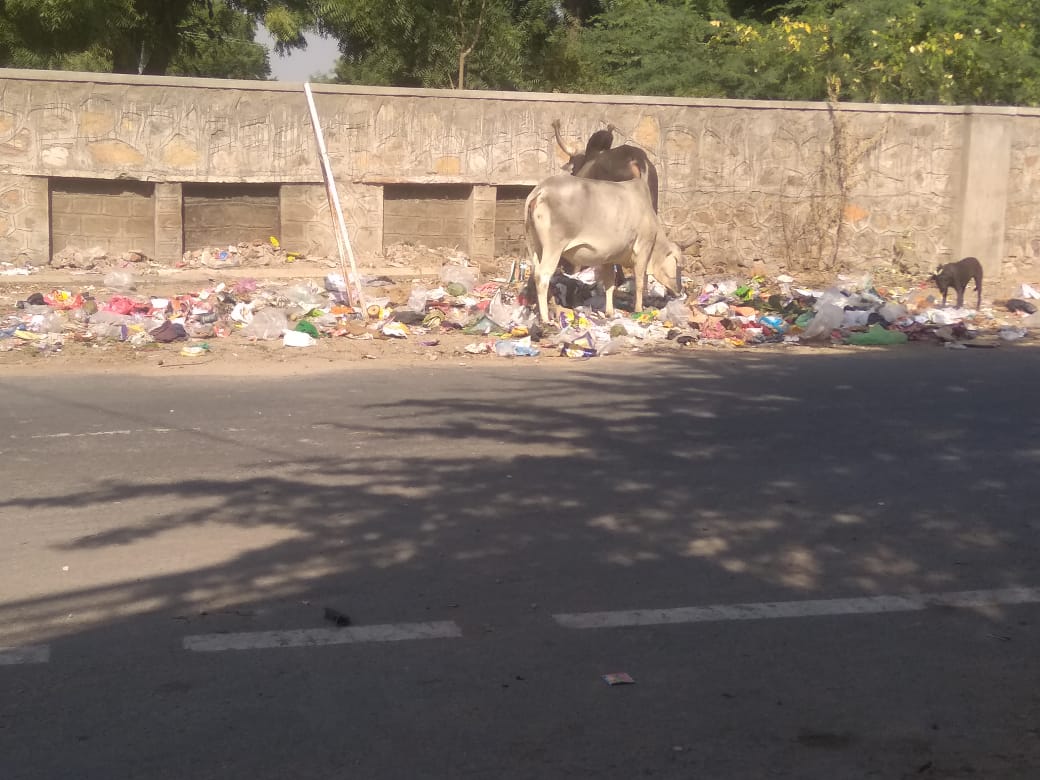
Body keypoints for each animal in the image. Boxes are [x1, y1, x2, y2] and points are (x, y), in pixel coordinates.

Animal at [528, 174, 682, 324]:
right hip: (553, 248)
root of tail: (541, 189)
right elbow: (640, 283)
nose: (679, 291)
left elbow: (609, 285)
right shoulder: (643, 249)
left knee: (535, 273)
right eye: (678, 265)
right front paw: (639, 309)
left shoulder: (609, 258)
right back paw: (546, 318)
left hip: (538, 248)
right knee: (543, 276)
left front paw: (610, 312)